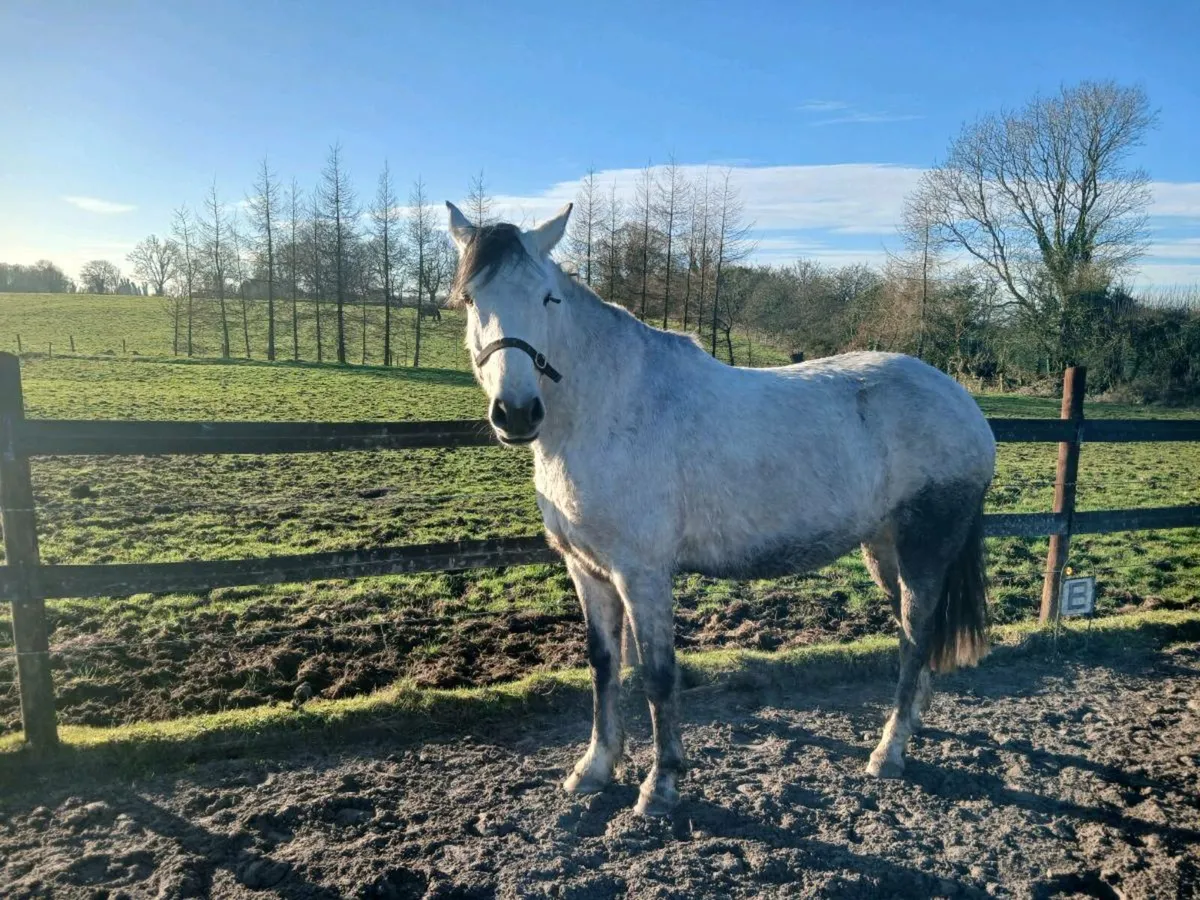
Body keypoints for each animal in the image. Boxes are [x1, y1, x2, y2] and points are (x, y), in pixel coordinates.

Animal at [445, 201, 995, 816]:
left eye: (548, 298)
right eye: (471, 299)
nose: (516, 413)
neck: (608, 408)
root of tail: (962, 402)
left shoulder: (642, 574)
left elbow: (658, 675)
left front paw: (660, 784)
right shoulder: (587, 571)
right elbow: (604, 666)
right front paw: (594, 768)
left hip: (926, 546)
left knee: (916, 634)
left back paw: (889, 752)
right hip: (884, 549)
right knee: (912, 634)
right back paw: (912, 726)